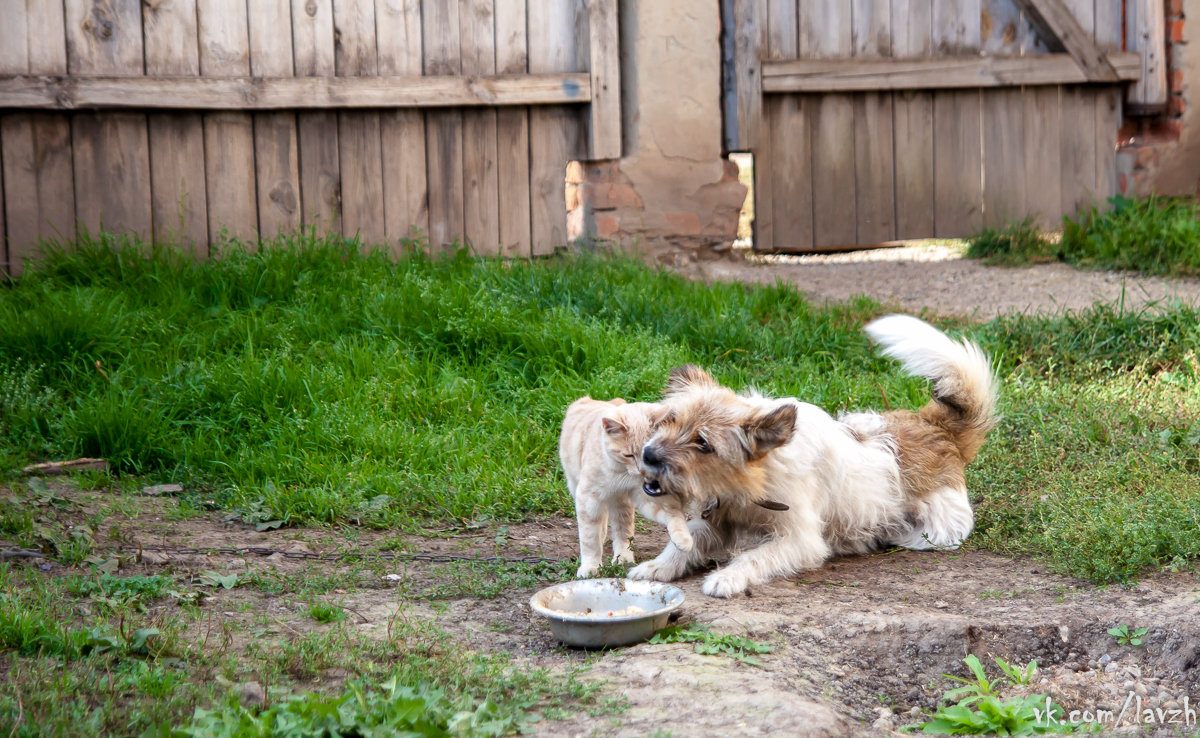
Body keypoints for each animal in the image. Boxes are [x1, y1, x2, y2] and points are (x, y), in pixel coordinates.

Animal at [561, 398, 696, 578]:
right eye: (629, 455)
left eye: (649, 454)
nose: (642, 470)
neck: (619, 471)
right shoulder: (588, 497)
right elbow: (590, 538)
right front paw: (590, 566)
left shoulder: (647, 495)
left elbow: (673, 515)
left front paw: (683, 539)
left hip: (621, 504)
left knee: (622, 530)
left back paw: (623, 558)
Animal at [628, 314, 993, 597]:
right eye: (669, 420)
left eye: (703, 443)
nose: (648, 455)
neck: (753, 482)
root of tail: (937, 427)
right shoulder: (714, 521)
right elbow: (683, 543)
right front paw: (657, 567)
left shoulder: (799, 540)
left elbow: (754, 556)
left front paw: (727, 577)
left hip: (936, 531)